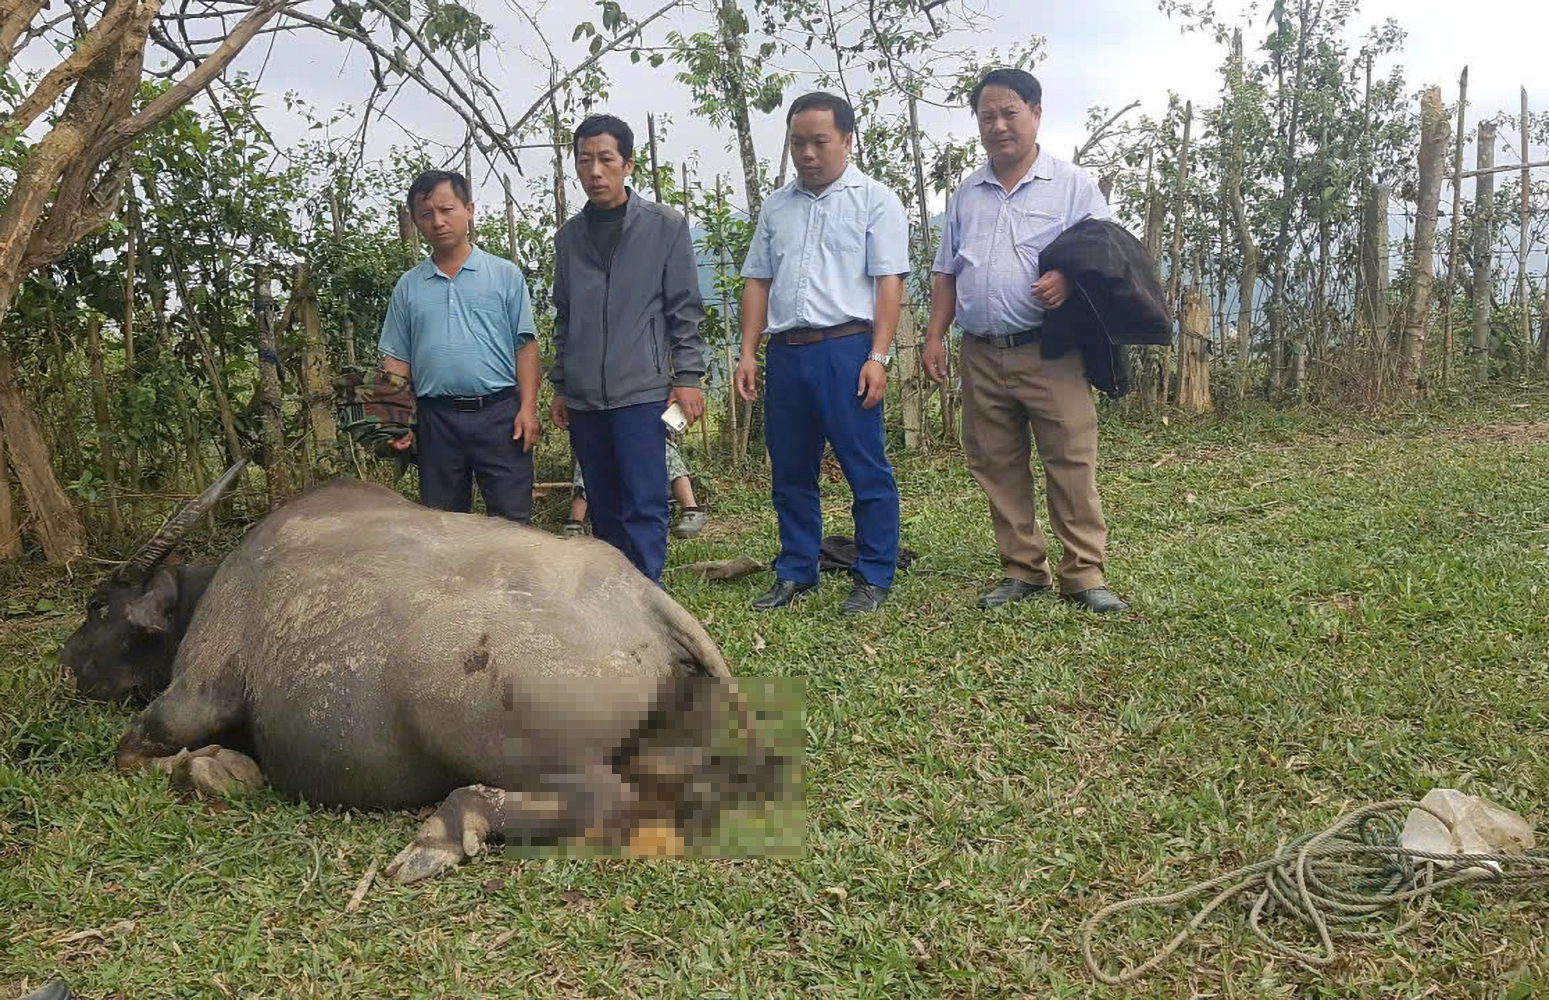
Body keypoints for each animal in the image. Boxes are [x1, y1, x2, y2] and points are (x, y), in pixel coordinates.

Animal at [60, 467, 786, 879]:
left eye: (99, 607)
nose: (68, 662)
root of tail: (644, 599)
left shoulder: (192, 695)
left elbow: (136, 751)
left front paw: (221, 768)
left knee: (606, 801)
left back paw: (445, 832)